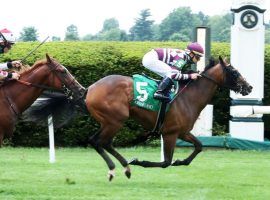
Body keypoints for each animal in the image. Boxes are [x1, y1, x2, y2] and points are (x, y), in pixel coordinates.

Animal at [86, 55, 253, 180]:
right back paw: (117, 168)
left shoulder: (183, 132)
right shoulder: (170, 133)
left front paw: (180, 161)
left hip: (108, 121)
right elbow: (166, 162)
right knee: (101, 141)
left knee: (98, 141)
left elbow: (199, 146)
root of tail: (91, 88)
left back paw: (123, 167)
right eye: (234, 72)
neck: (189, 97)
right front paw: (140, 161)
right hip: (115, 120)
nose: (249, 87)